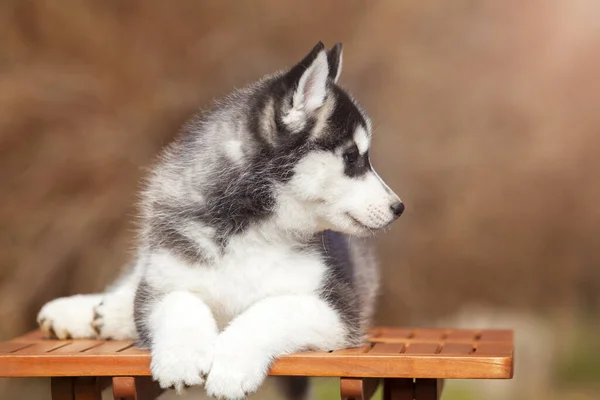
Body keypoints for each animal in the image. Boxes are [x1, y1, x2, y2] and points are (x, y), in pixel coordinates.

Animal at [36, 42, 404, 398]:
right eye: (352, 157)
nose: (398, 207)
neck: (247, 229)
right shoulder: (164, 278)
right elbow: (179, 301)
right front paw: (181, 358)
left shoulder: (338, 310)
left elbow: (269, 311)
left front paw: (232, 368)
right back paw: (84, 312)